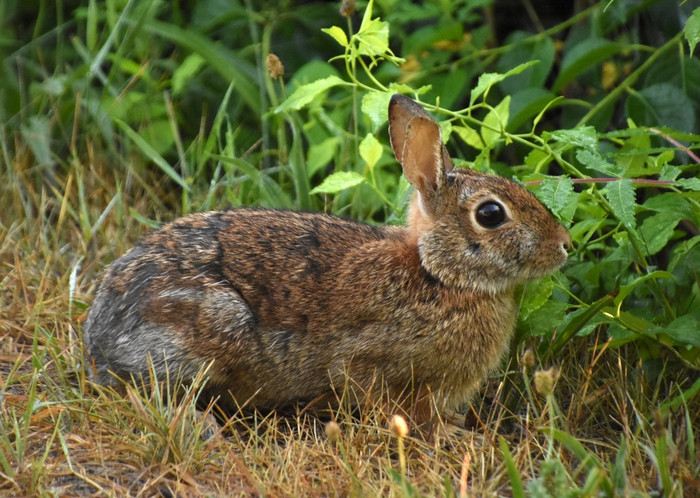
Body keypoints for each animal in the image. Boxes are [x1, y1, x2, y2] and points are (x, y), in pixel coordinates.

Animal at [82, 95, 572, 430]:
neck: (437, 275)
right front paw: (444, 434)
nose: (565, 244)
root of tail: (100, 337)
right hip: (210, 327)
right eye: (490, 214)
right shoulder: (369, 360)